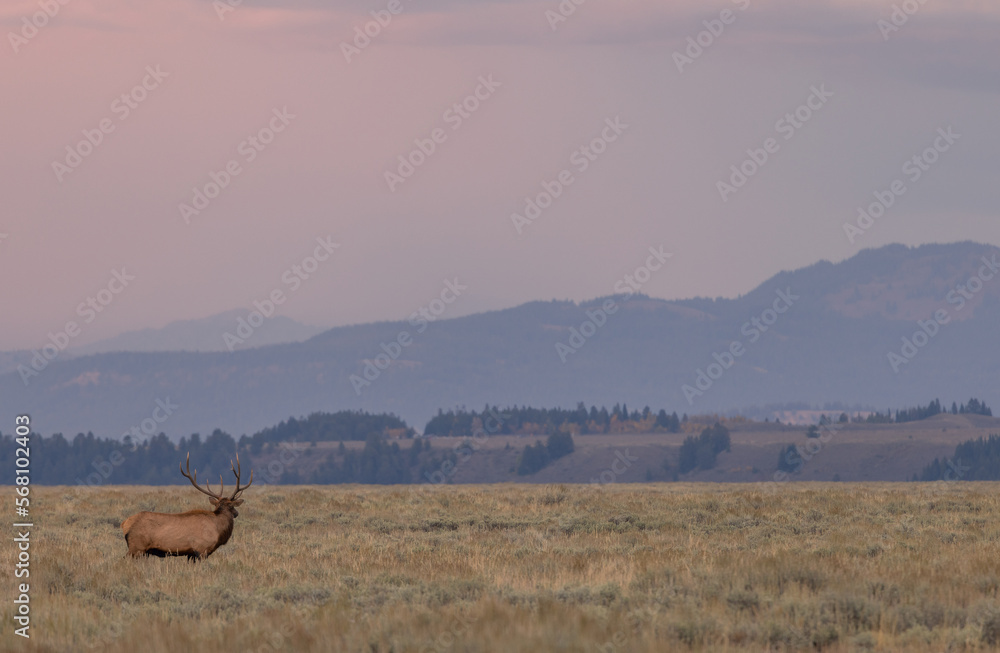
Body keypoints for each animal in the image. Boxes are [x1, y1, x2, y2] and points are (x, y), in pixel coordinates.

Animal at [122, 453, 253, 561]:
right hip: (137, 547)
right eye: (232, 506)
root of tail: (125, 524)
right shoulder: (201, 550)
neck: (218, 530)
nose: (236, 513)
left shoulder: (191, 554)